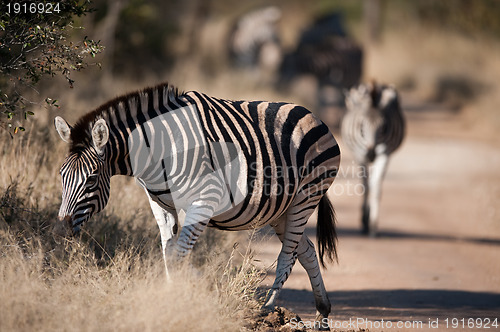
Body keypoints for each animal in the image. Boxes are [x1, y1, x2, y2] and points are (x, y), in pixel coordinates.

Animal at [54, 81, 342, 326]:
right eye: (61, 175)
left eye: (91, 179)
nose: (61, 230)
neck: (159, 149)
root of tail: (312, 115)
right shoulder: (160, 204)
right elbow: (168, 253)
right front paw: (173, 294)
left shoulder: (204, 199)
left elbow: (179, 254)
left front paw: (179, 296)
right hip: (281, 209)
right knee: (305, 250)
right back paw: (322, 313)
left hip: (307, 195)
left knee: (288, 255)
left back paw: (266, 309)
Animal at [340, 81, 406, 235]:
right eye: (362, 125)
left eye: (383, 127)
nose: (371, 154)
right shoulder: (360, 155)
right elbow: (365, 186)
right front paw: (365, 220)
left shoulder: (385, 154)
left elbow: (375, 186)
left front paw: (373, 223)